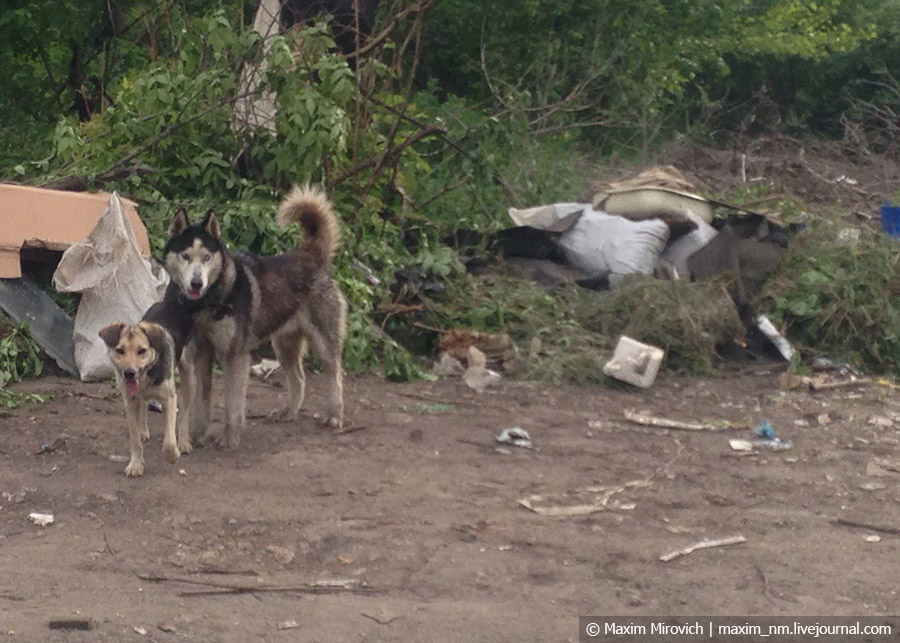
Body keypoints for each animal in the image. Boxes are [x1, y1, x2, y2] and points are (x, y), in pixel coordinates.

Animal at [99, 300, 194, 476]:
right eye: (120, 350)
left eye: (141, 351)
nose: (129, 373)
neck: (146, 375)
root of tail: (167, 302)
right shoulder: (129, 402)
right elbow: (134, 438)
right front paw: (135, 464)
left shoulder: (170, 399)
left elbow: (169, 439)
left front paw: (173, 455)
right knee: (143, 406)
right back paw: (144, 430)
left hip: (189, 376)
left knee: (184, 412)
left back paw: (184, 442)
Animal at [163, 186, 346, 448]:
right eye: (186, 256)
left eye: (206, 257)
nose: (197, 283)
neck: (209, 301)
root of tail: (311, 254)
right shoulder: (202, 354)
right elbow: (202, 401)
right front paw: (197, 434)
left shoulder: (235, 357)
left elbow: (231, 405)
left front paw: (230, 438)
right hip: (284, 345)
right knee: (299, 379)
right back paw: (288, 413)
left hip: (323, 342)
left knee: (335, 376)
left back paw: (334, 416)